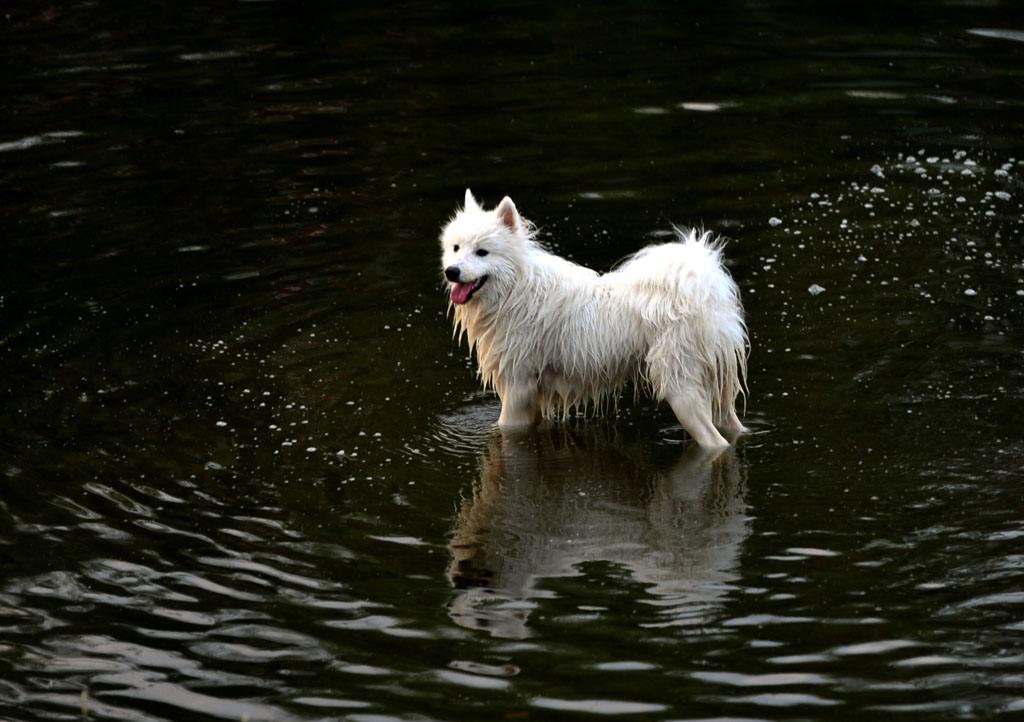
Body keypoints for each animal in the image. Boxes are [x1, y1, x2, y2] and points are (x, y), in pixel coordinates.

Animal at [438, 191, 745, 450]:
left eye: (482, 252)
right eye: (456, 248)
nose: (451, 271)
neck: (514, 289)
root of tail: (706, 290)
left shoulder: (518, 387)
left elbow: (506, 427)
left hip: (680, 388)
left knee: (715, 441)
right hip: (717, 393)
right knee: (733, 426)